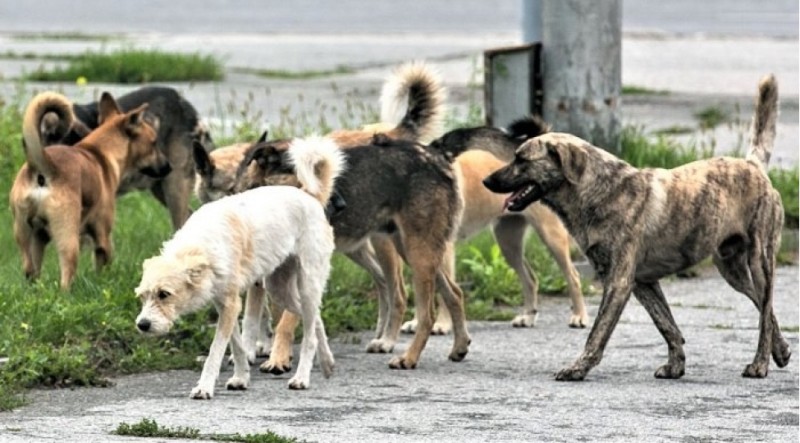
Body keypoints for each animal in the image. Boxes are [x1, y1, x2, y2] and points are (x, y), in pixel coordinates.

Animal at [10, 92, 170, 290]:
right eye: (154, 143)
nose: (169, 167)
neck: (100, 152)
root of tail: (43, 166)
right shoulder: (103, 237)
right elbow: (103, 264)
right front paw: (104, 283)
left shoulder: (40, 238)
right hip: (68, 238)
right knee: (66, 275)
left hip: (25, 235)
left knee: (30, 270)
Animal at [134, 136, 344, 398]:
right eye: (142, 297)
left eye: (164, 294)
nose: (142, 325)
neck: (200, 246)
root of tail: (310, 196)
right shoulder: (226, 305)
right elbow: (237, 346)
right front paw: (241, 378)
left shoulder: (231, 305)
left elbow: (216, 350)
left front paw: (204, 386)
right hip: (279, 290)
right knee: (314, 320)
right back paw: (327, 362)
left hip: (306, 284)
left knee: (309, 335)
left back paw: (301, 377)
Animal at [484, 75, 792, 382]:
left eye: (521, 159)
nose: (486, 181)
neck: (599, 191)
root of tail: (752, 165)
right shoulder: (643, 283)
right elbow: (667, 325)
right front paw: (676, 366)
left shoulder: (618, 283)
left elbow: (597, 333)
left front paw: (578, 368)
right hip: (732, 270)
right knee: (765, 307)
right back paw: (781, 349)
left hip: (760, 261)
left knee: (765, 311)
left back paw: (760, 364)